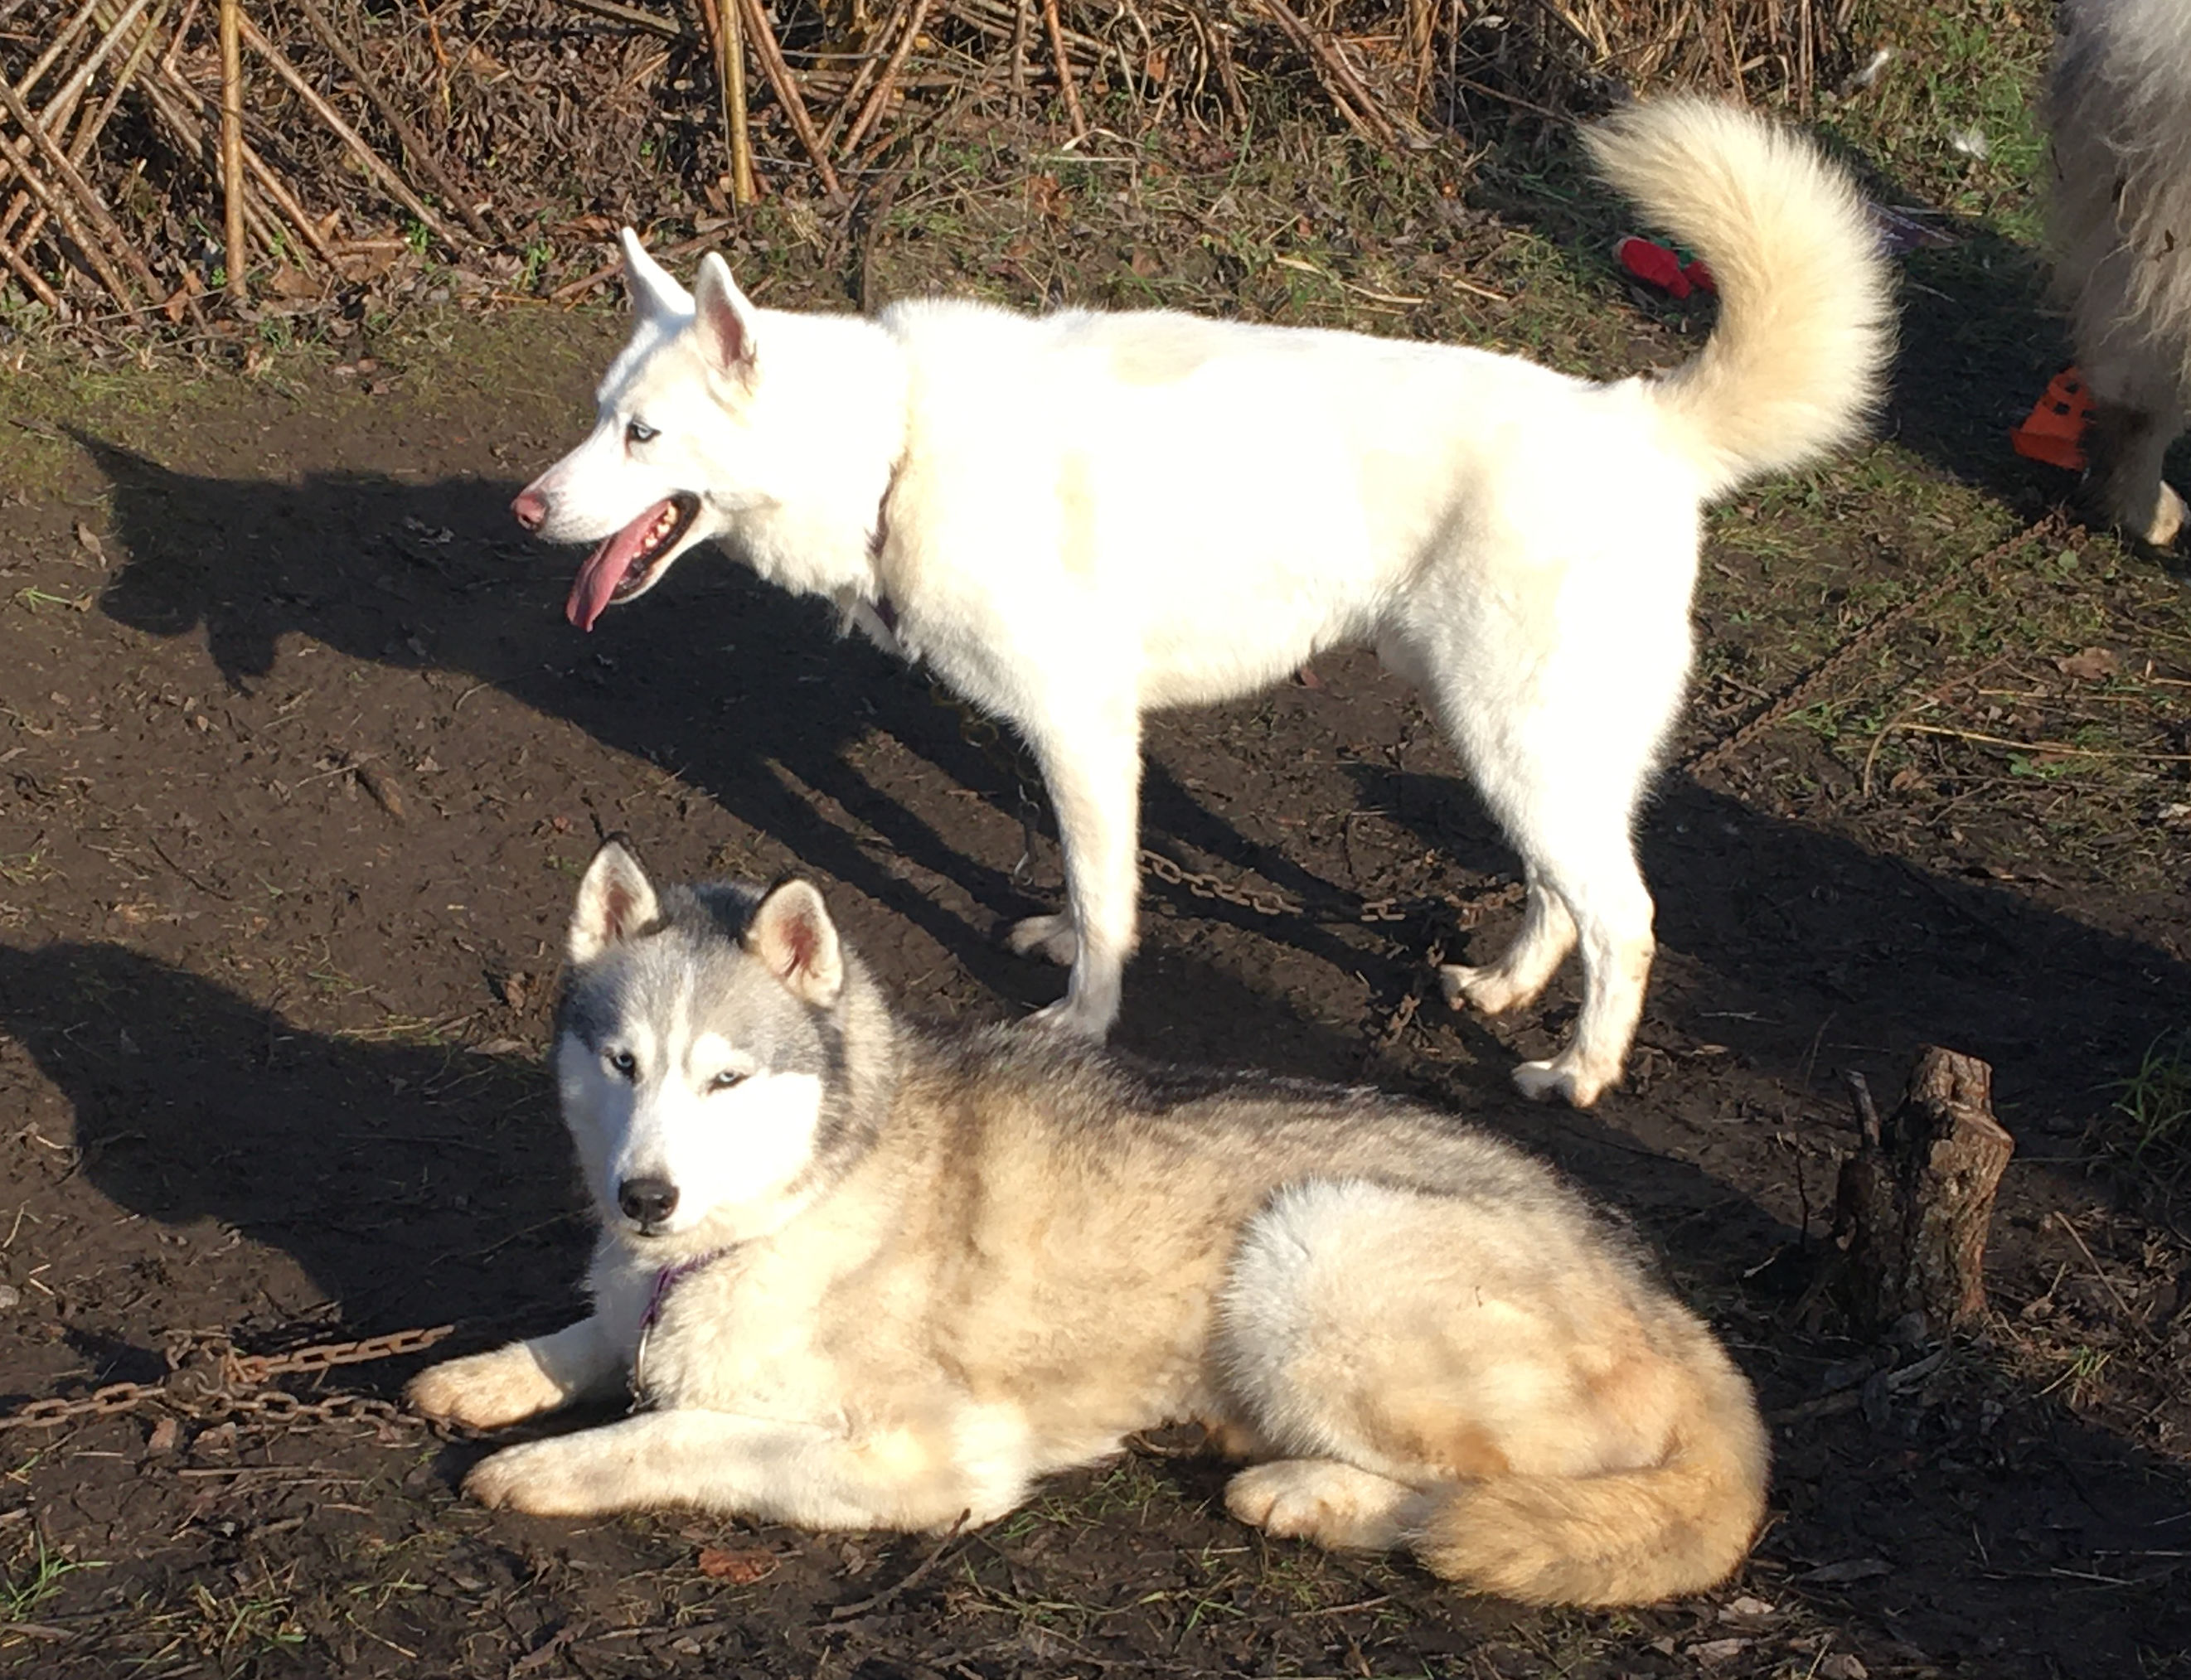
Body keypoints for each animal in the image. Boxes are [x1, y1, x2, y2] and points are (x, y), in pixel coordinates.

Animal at [508, 98, 1883, 1112]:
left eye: (642, 435)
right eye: (598, 415)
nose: (525, 510)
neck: (894, 445)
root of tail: (1639, 423)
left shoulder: (1080, 727)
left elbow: (1105, 891)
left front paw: (1084, 1012)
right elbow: (1084, 892)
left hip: (1515, 736)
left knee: (1625, 917)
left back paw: (1578, 1070)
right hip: (1508, 739)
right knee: (1565, 895)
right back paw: (1500, 989)